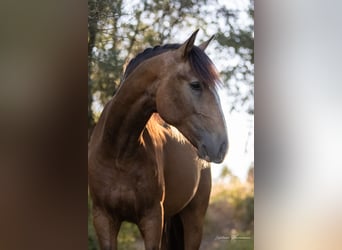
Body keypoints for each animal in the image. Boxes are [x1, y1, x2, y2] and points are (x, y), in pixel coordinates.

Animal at [87, 29, 227, 250]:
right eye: (196, 85)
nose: (222, 146)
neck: (118, 153)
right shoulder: (103, 218)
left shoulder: (152, 219)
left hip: (193, 220)